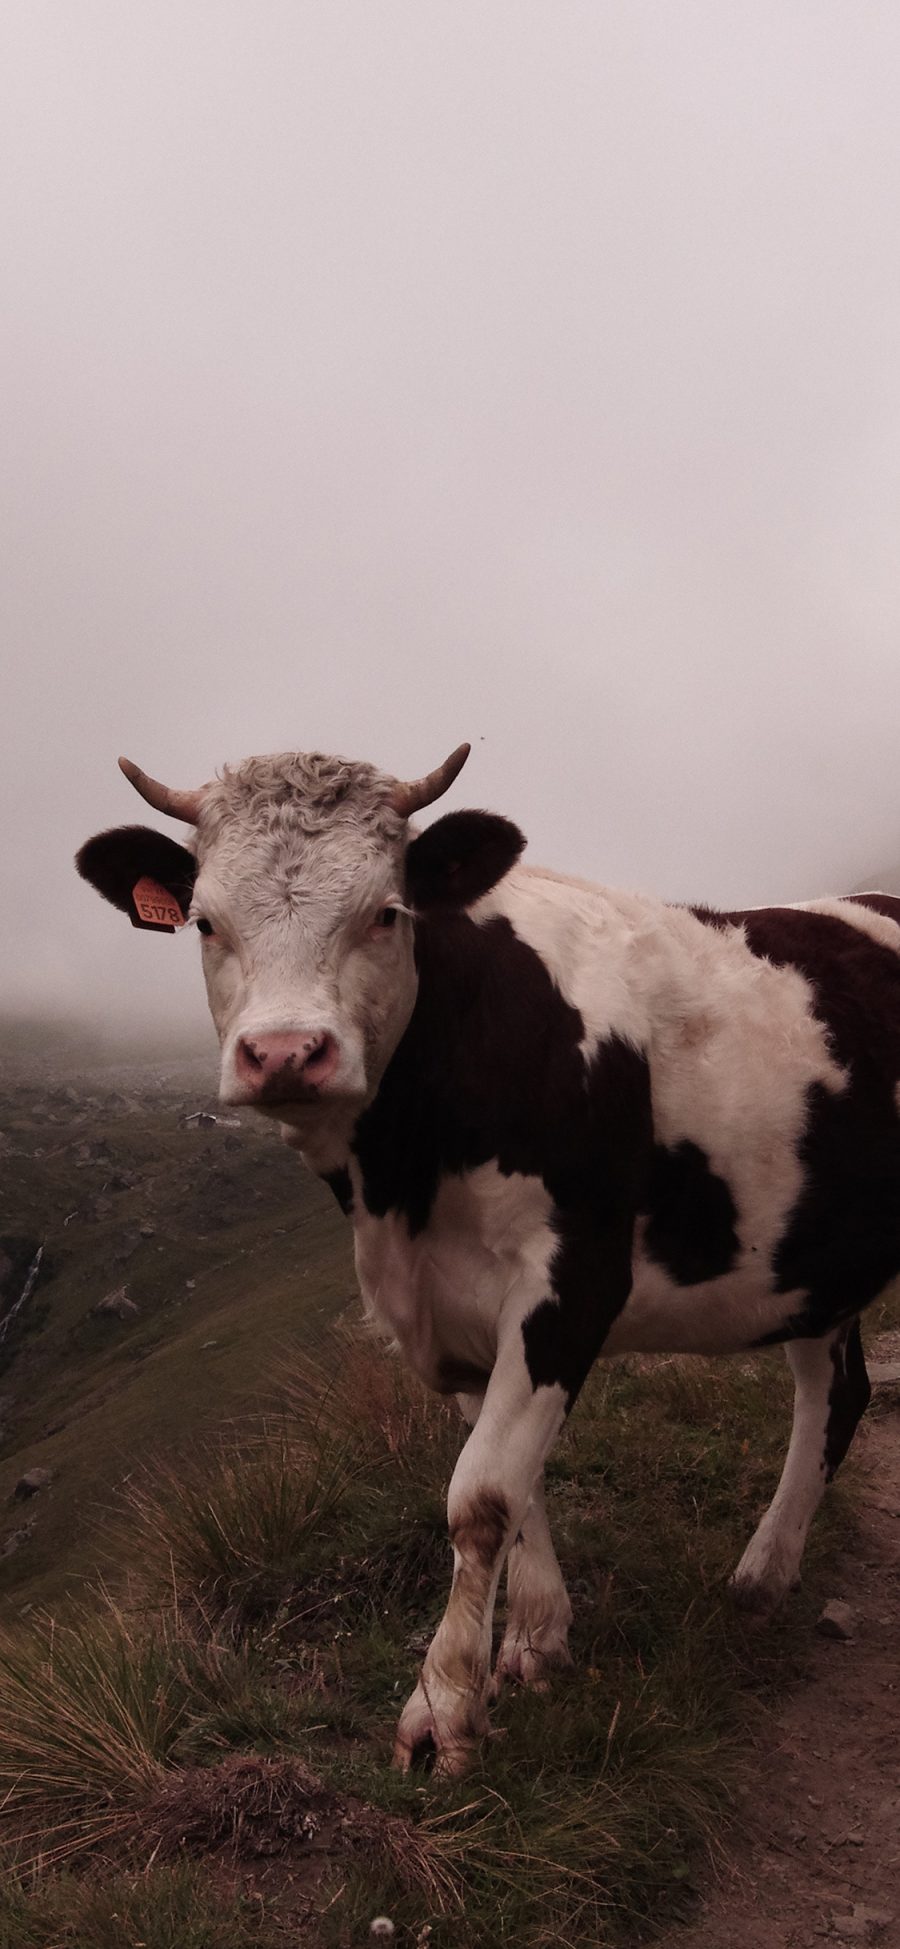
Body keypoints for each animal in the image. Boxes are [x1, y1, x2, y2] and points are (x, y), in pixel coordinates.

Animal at [77, 748, 900, 1785]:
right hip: (811, 1262)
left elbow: (482, 1494)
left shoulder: (572, 1280)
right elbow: (519, 1482)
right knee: (833, 1390)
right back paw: (763, 1572)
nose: (286, 1053)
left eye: (386, 912)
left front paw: (443, 1713)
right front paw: (537, 1640)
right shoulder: (453, 1311)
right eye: (205, 921)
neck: (400, 1186)